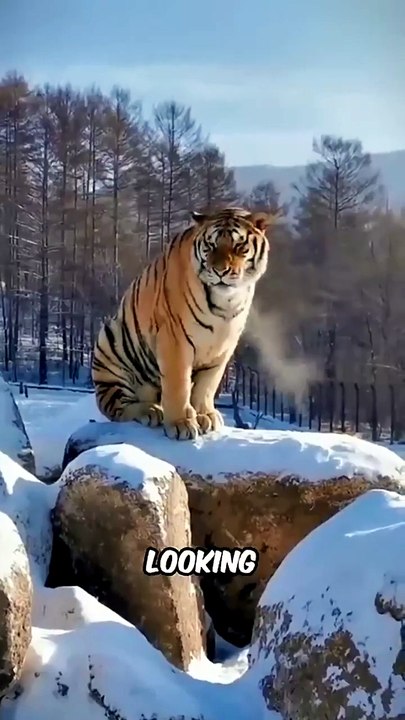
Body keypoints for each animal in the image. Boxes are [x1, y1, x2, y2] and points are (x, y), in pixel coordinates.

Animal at [92, 206, 273, 440]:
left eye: (239, 246)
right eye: (211, 246)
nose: (220, 271)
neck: (227, 301)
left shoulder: (224, 345)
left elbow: (208, 384)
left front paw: (206, 415)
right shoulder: (175, 337)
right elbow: (179, 383)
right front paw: (181, 423)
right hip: (110, 345)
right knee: (117, 406)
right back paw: (151, 411)